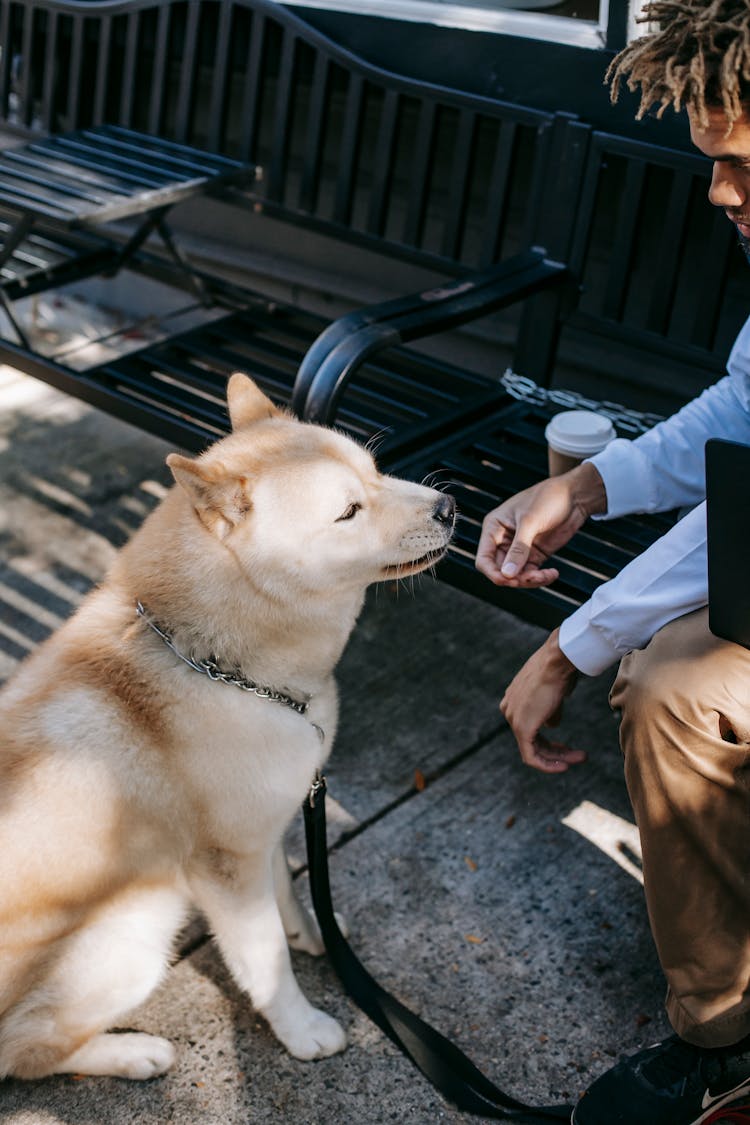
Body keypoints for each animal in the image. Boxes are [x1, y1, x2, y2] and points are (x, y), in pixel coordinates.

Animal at [0, 375, 458, 1080]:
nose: (449, 506)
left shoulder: (265, 827)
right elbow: (263, 962)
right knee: (24, 1052)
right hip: (139, 929)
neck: (224, 667)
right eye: (348, 511)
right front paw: (302, 1030)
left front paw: (313, 934)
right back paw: (134, 1052)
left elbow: (288, 891)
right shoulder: (225, 865)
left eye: (376, 470)